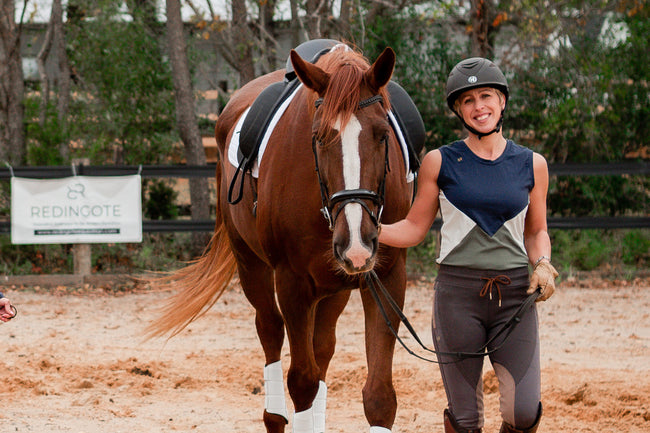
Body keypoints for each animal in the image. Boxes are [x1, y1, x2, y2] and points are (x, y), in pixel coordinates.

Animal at [147, 44, 410, 432]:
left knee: (322, 347)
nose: (357, 242)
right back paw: (274, 415)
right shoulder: (293, 283)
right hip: (251, 265)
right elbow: (301, 382)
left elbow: (379, 395)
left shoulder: (387, 277)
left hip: (334, 287)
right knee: (270, 328)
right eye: (319, 137)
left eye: (381, 134)